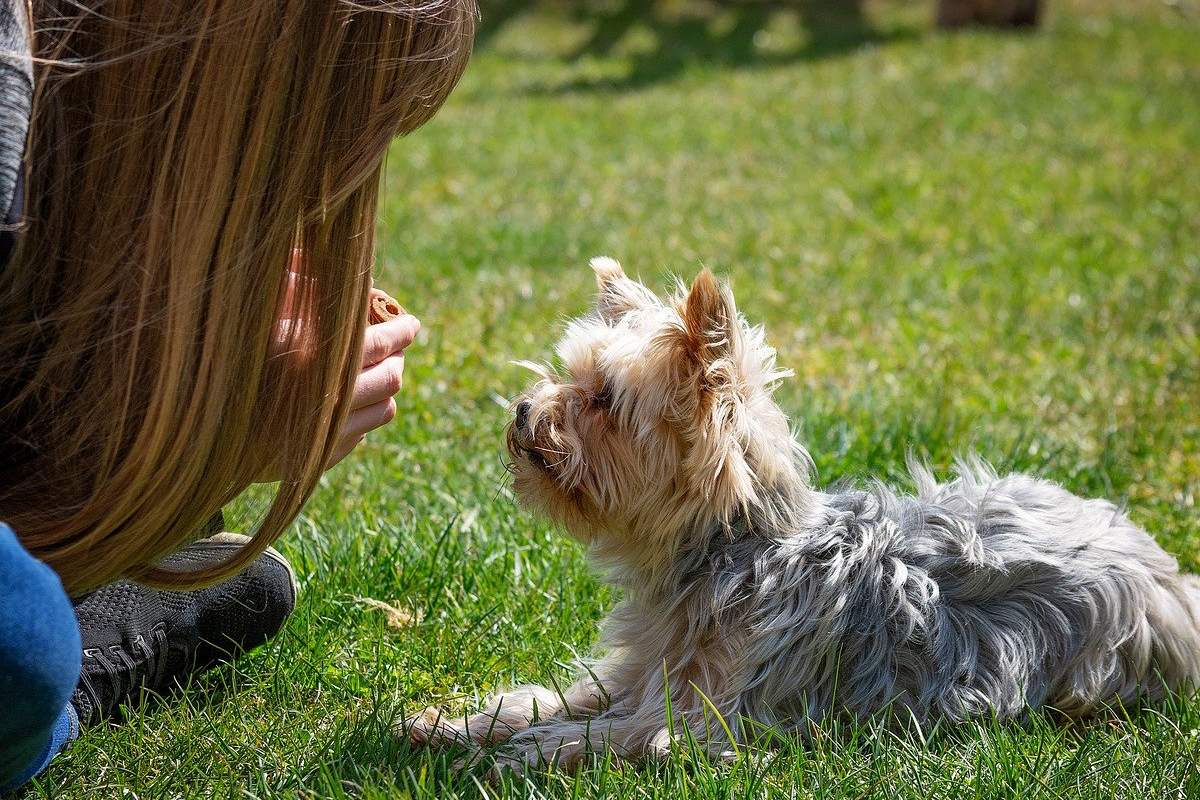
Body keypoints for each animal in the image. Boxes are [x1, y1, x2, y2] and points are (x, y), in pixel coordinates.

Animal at [405, 260, 1200, 772]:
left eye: (602, 398)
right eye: (566, 374)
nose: (521, 412)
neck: (729, 551)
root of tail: (1170, 578)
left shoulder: (717, 720)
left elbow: (621, 734)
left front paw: (532, 750)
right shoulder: (640, 671)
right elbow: (556, 698)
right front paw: (455, 724)